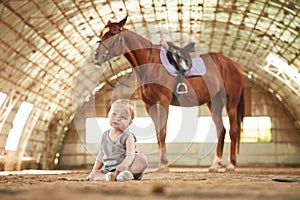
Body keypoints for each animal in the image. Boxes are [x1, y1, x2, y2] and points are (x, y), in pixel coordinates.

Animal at [95, 15, 245, 172]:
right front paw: (162, 164)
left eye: (112, 33)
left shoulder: (163, 102)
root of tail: (233, 65)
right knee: (221, 130)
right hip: (214, 103)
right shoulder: (150, 105)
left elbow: (163, 133)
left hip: (230, 102)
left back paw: (231, 165)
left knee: (233, 130)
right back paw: (215, 165)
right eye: (101, 34)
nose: (96, 56)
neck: (150, 63)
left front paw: (164, 165)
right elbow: (158, 134)